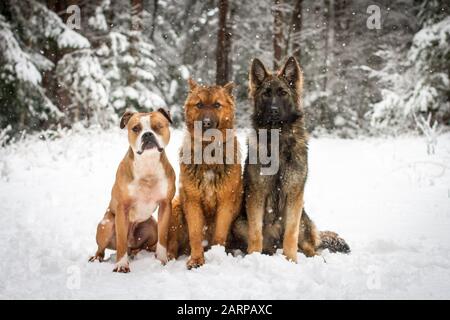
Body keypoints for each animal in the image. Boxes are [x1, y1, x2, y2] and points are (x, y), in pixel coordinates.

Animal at [167, 79, 243, 268]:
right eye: (199, 104)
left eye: (217, 105)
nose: (207, 123)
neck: (209, 153)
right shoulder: (192, 201)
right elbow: (195, 234)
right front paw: (196, 259)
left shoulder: (226, 202)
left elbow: (219, 235)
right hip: (176, 207)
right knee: (171, 245)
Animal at [232, 57, 352, 262]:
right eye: (266, 94)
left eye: (283, 93)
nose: (273, 111)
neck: (278, 141)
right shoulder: (256, 194)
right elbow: (255, 233)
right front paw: (254, 256)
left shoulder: (294, 195)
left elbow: (291, 233)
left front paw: (291, 261)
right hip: (239, 223)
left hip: (303, 219)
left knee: (309, 247)